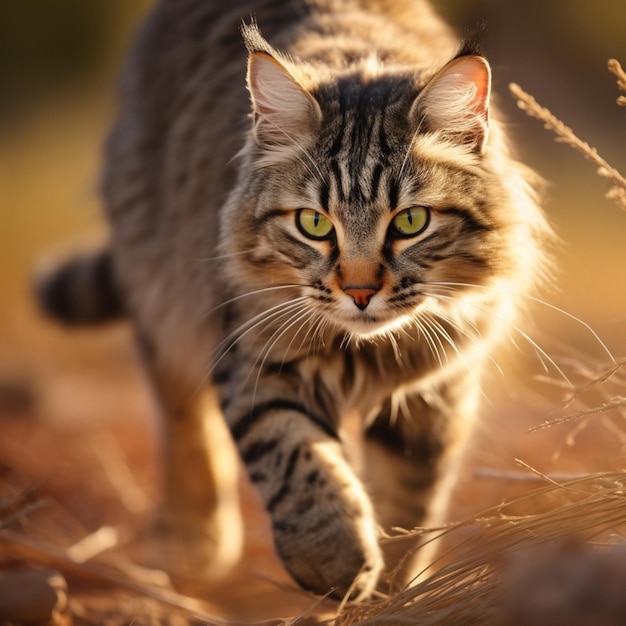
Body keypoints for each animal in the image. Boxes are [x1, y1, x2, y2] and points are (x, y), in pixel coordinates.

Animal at [36, 0, 548, 600]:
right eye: (313, 224)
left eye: (411, 222)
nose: (359, 291)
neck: (365, 351)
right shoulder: (251, 354)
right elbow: (295, 457)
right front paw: (337, 561)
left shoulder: (437, 388)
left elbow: (411, 503)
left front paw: (391, 590)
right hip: (161, 280)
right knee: (179, 406)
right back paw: (194, 539)